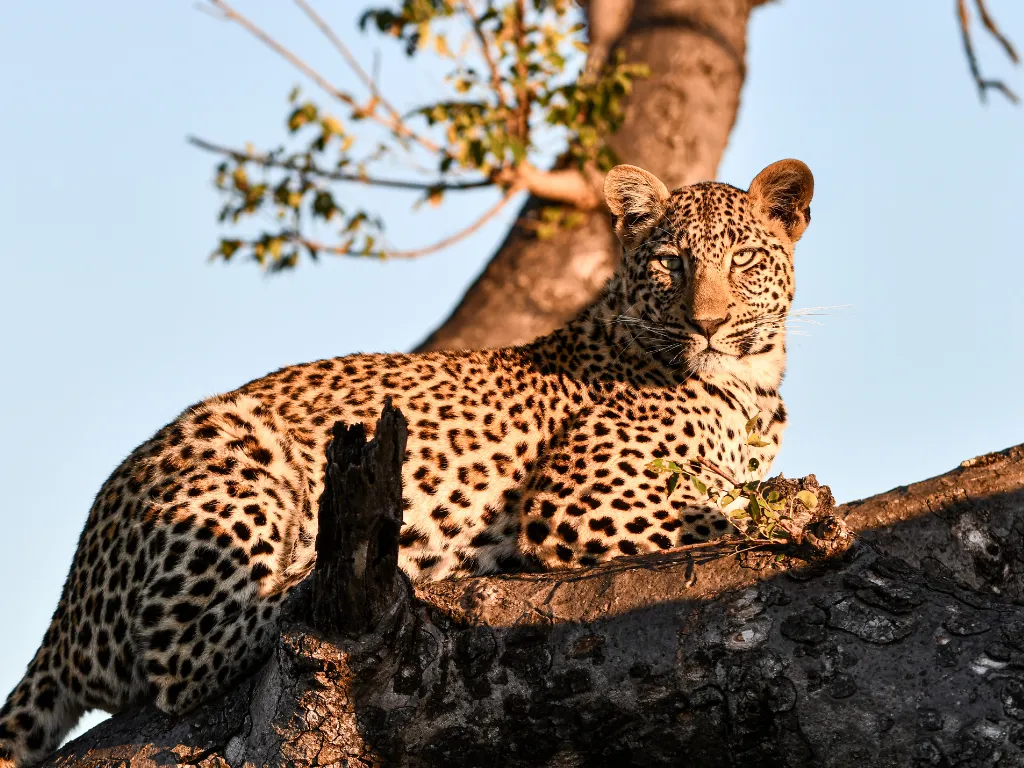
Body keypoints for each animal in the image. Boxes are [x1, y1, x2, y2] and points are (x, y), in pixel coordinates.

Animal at [2, 159, 815, 765]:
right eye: (671, 264)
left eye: (744, 262)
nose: (707, 324)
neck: (752, 388)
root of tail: (68, 604)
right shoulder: (577, 500)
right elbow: (723, 513)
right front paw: (800, 515)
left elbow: (731, 495)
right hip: (235, 448)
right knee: (186, 658)